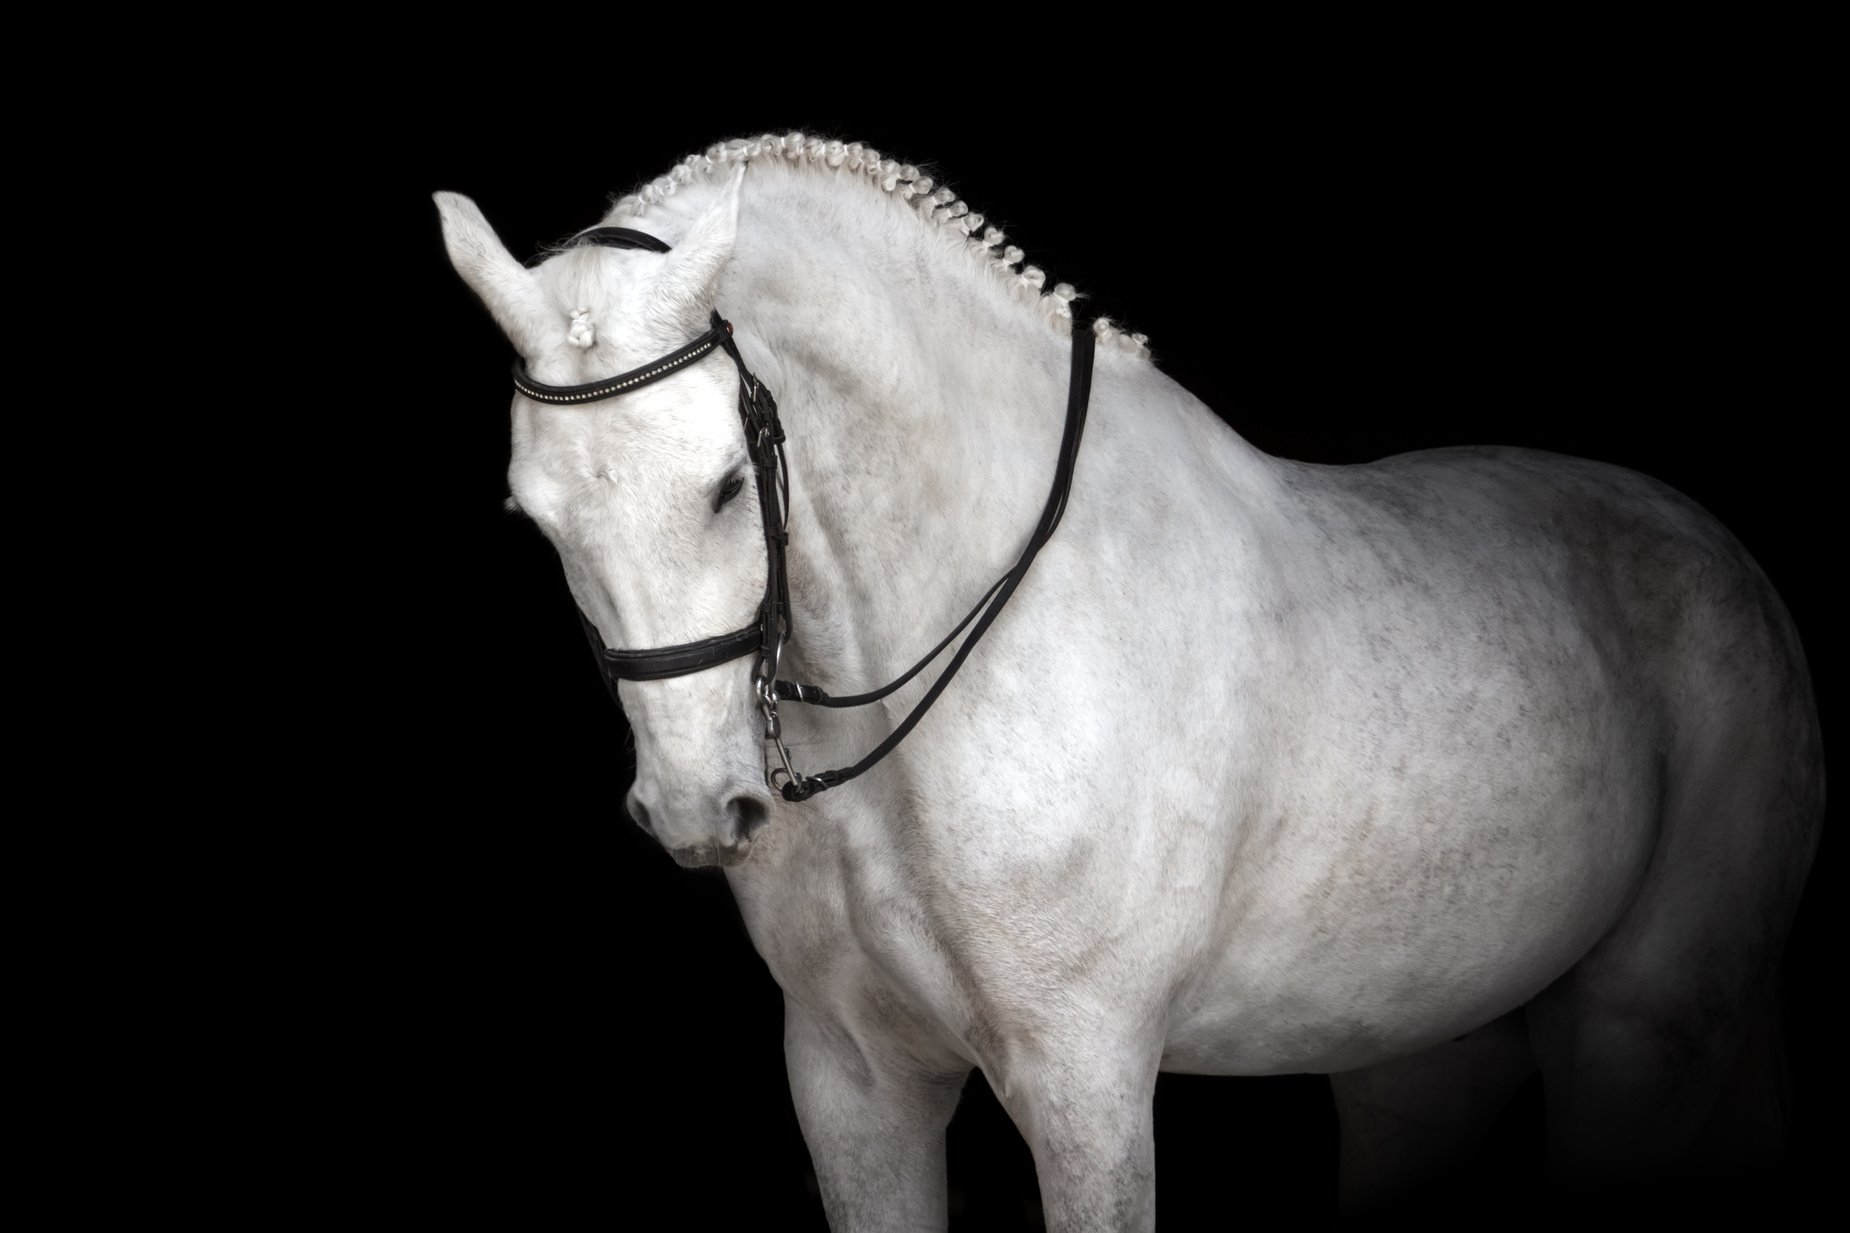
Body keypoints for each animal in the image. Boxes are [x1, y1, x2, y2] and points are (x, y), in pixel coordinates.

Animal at [435, 133, 1824, 1229]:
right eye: (530, 517)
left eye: (728, 485)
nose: (692, 809)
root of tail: (1721, 557)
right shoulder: (852, 1083)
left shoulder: (1084, 1078)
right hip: (1416, 1047)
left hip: (1640, 1033)